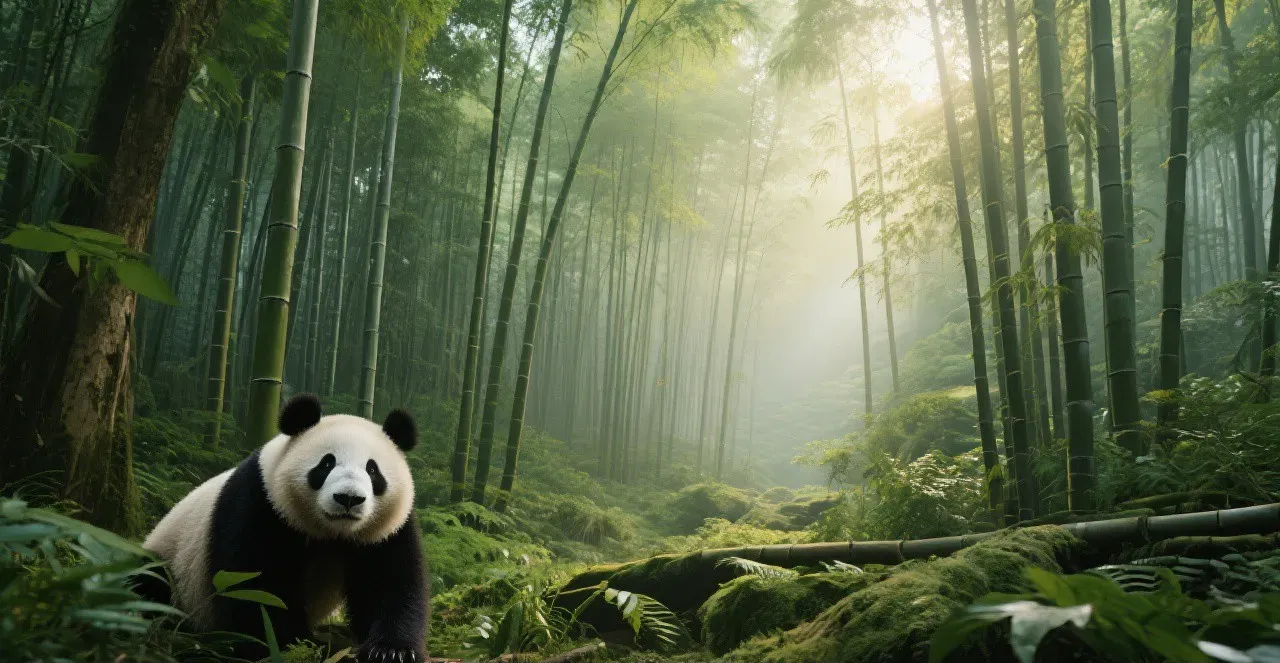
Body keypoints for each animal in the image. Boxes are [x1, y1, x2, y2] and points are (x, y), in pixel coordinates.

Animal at [141, 394, 429, 662]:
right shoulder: (260, 503)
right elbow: (257, 588)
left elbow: (392, 584)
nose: (348, 498)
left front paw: (391, 651)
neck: (332, 533)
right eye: (326, 463)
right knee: (150, 581)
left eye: (372, 470)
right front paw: (302, 645)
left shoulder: (387, 530)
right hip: (172, 564)